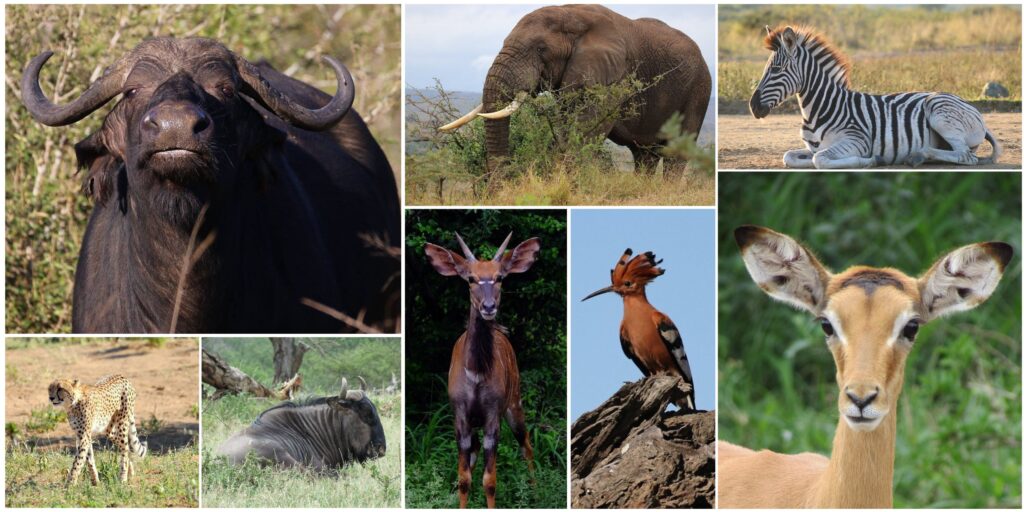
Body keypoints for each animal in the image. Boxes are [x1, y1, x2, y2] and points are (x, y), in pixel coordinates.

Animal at [424, 232, 540, 508]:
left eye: (499, 277)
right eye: (471, 279)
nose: (488, 307)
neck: (475, 373)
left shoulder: (491, 416)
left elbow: (490, 481)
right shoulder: (461, 416)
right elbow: (464, 478)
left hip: (514, 404)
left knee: (526, 444)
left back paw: (536, 492)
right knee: (473, 456)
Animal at [439, 4, 712, 171]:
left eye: (541, 49)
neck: (571, 14)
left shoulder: (614, 76)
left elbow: (584, 131)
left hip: (699, 90)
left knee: (676, 152)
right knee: (643, 154)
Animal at [749, 26, 1000, 169]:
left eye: (777, 69)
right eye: (767, 69)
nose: (753, 106)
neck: (822, 108)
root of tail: (973, 110)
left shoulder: (857, 140)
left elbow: (819, 160)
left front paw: (872, 161)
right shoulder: (812, 147)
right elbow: (791, 156)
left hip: (939, 111)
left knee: (964, 156)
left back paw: (917, 156)